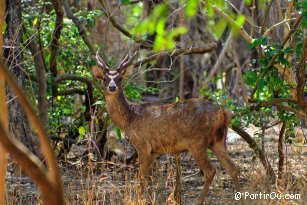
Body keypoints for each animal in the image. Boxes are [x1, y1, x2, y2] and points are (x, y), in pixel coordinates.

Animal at [93, 51, 243, 205]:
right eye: (104, 78)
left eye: (120, 78)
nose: (112, 87)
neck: (129, 120)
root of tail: (222, 112)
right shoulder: (154, 151)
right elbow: (150, 179)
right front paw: (149, 199)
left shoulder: (142, 145)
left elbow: (141, 177)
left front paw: (137, 199)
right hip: (218, 140)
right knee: (232, 167)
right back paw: (242, 199)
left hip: (197, 142)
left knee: (211, 170)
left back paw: (198, 201)